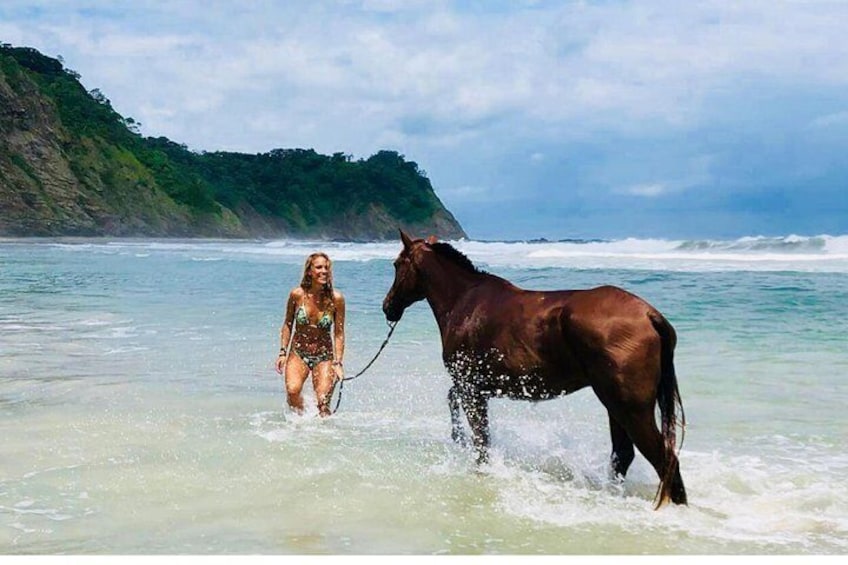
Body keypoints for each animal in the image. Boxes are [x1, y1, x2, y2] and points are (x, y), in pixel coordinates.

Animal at [380, 229, 684, 506]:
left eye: (396, 264)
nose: (387, 307)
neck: (464, 301)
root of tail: (649, 314)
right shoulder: (476, 387)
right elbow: (455, 404)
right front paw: (459, 438)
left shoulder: (472, 389)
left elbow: (481, 439)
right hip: (615, 406)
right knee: (623, 455)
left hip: (630, 409)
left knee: (664, 460)